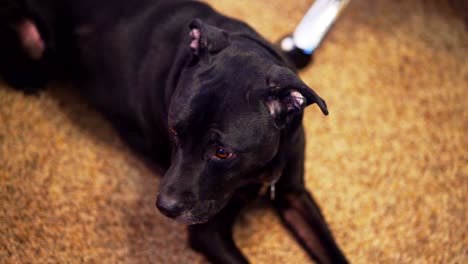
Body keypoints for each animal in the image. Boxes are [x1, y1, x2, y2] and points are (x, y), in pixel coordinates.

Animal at [0, 1, 350, 262]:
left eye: (223, 152)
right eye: (174, 131)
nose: (164, 208)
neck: (260, 173)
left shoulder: (295, 196)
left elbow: (333, 251)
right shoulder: (208, 232)